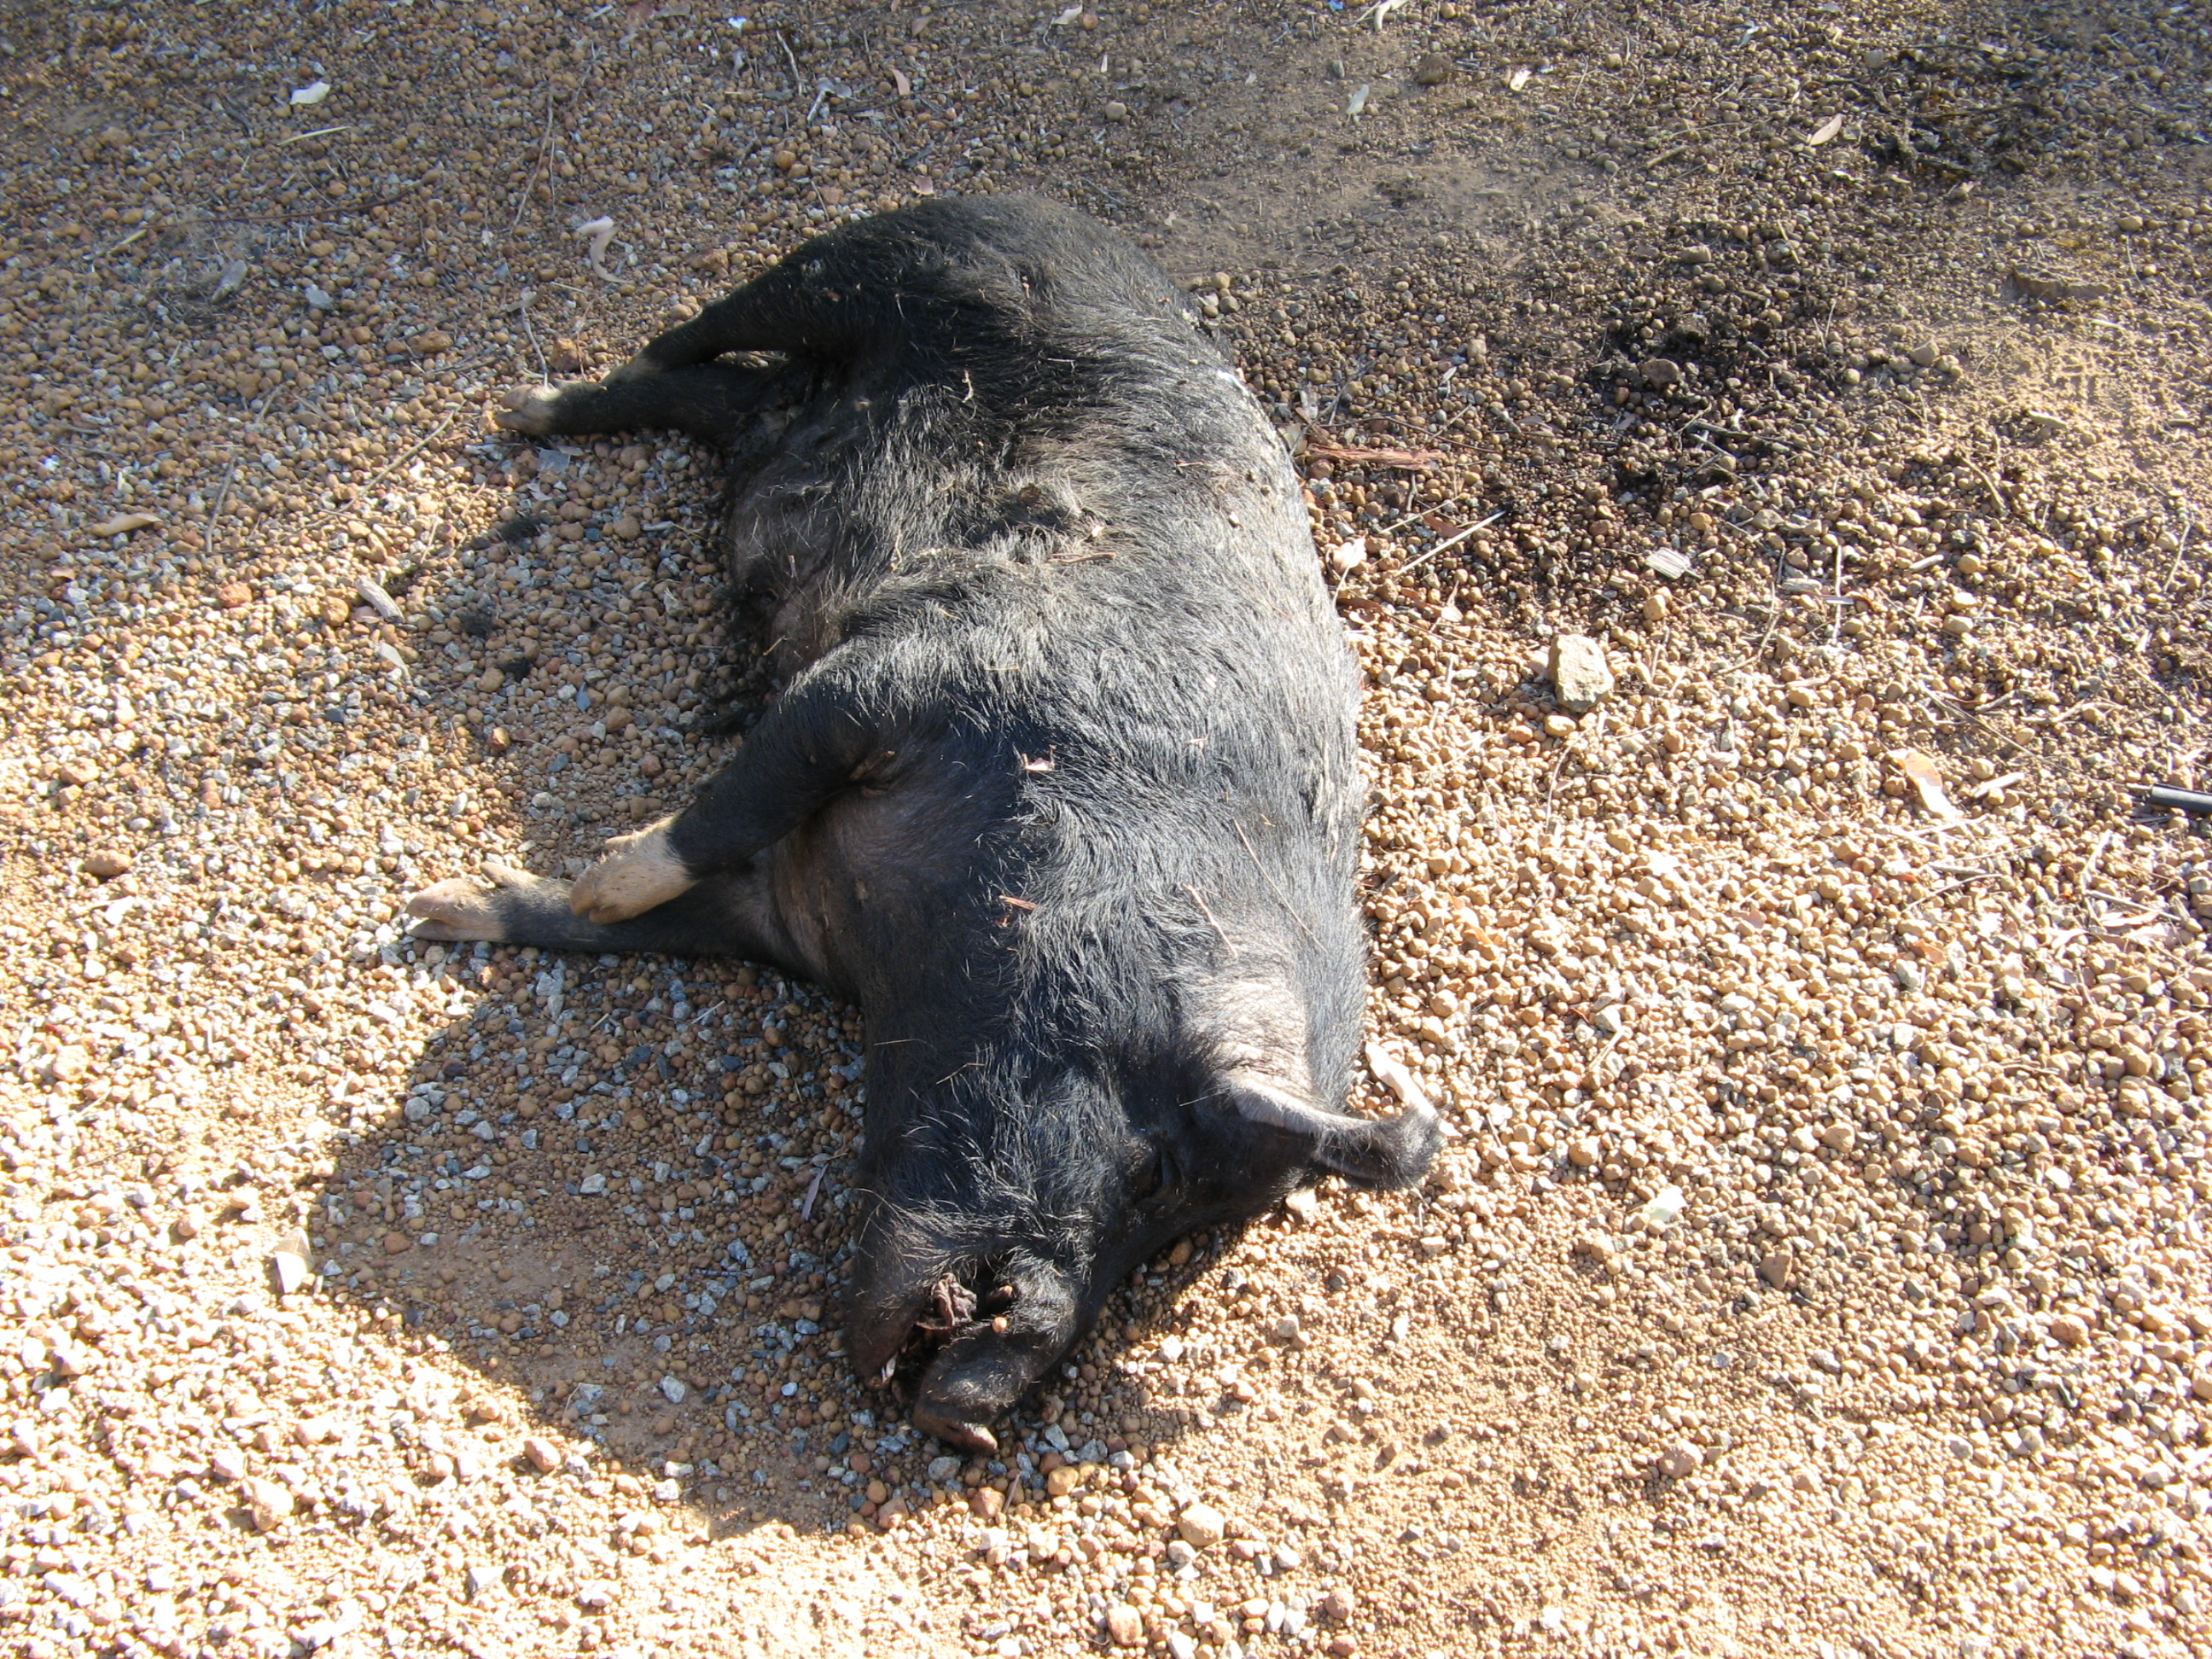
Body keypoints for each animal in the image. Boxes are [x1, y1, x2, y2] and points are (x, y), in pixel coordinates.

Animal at [406, 194, 1439, 1450]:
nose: (978, 1415)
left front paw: (440, 908)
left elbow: (605, 924)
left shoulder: (778, 910)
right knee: (689, 342)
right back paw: (523, 404)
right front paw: (590, 878)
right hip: (867, 263)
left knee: (726, 402)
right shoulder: (911, 677)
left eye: (1170, 1242)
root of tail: (1054, 208)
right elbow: (730, 801)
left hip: (792, 394)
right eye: (1155, 1170)